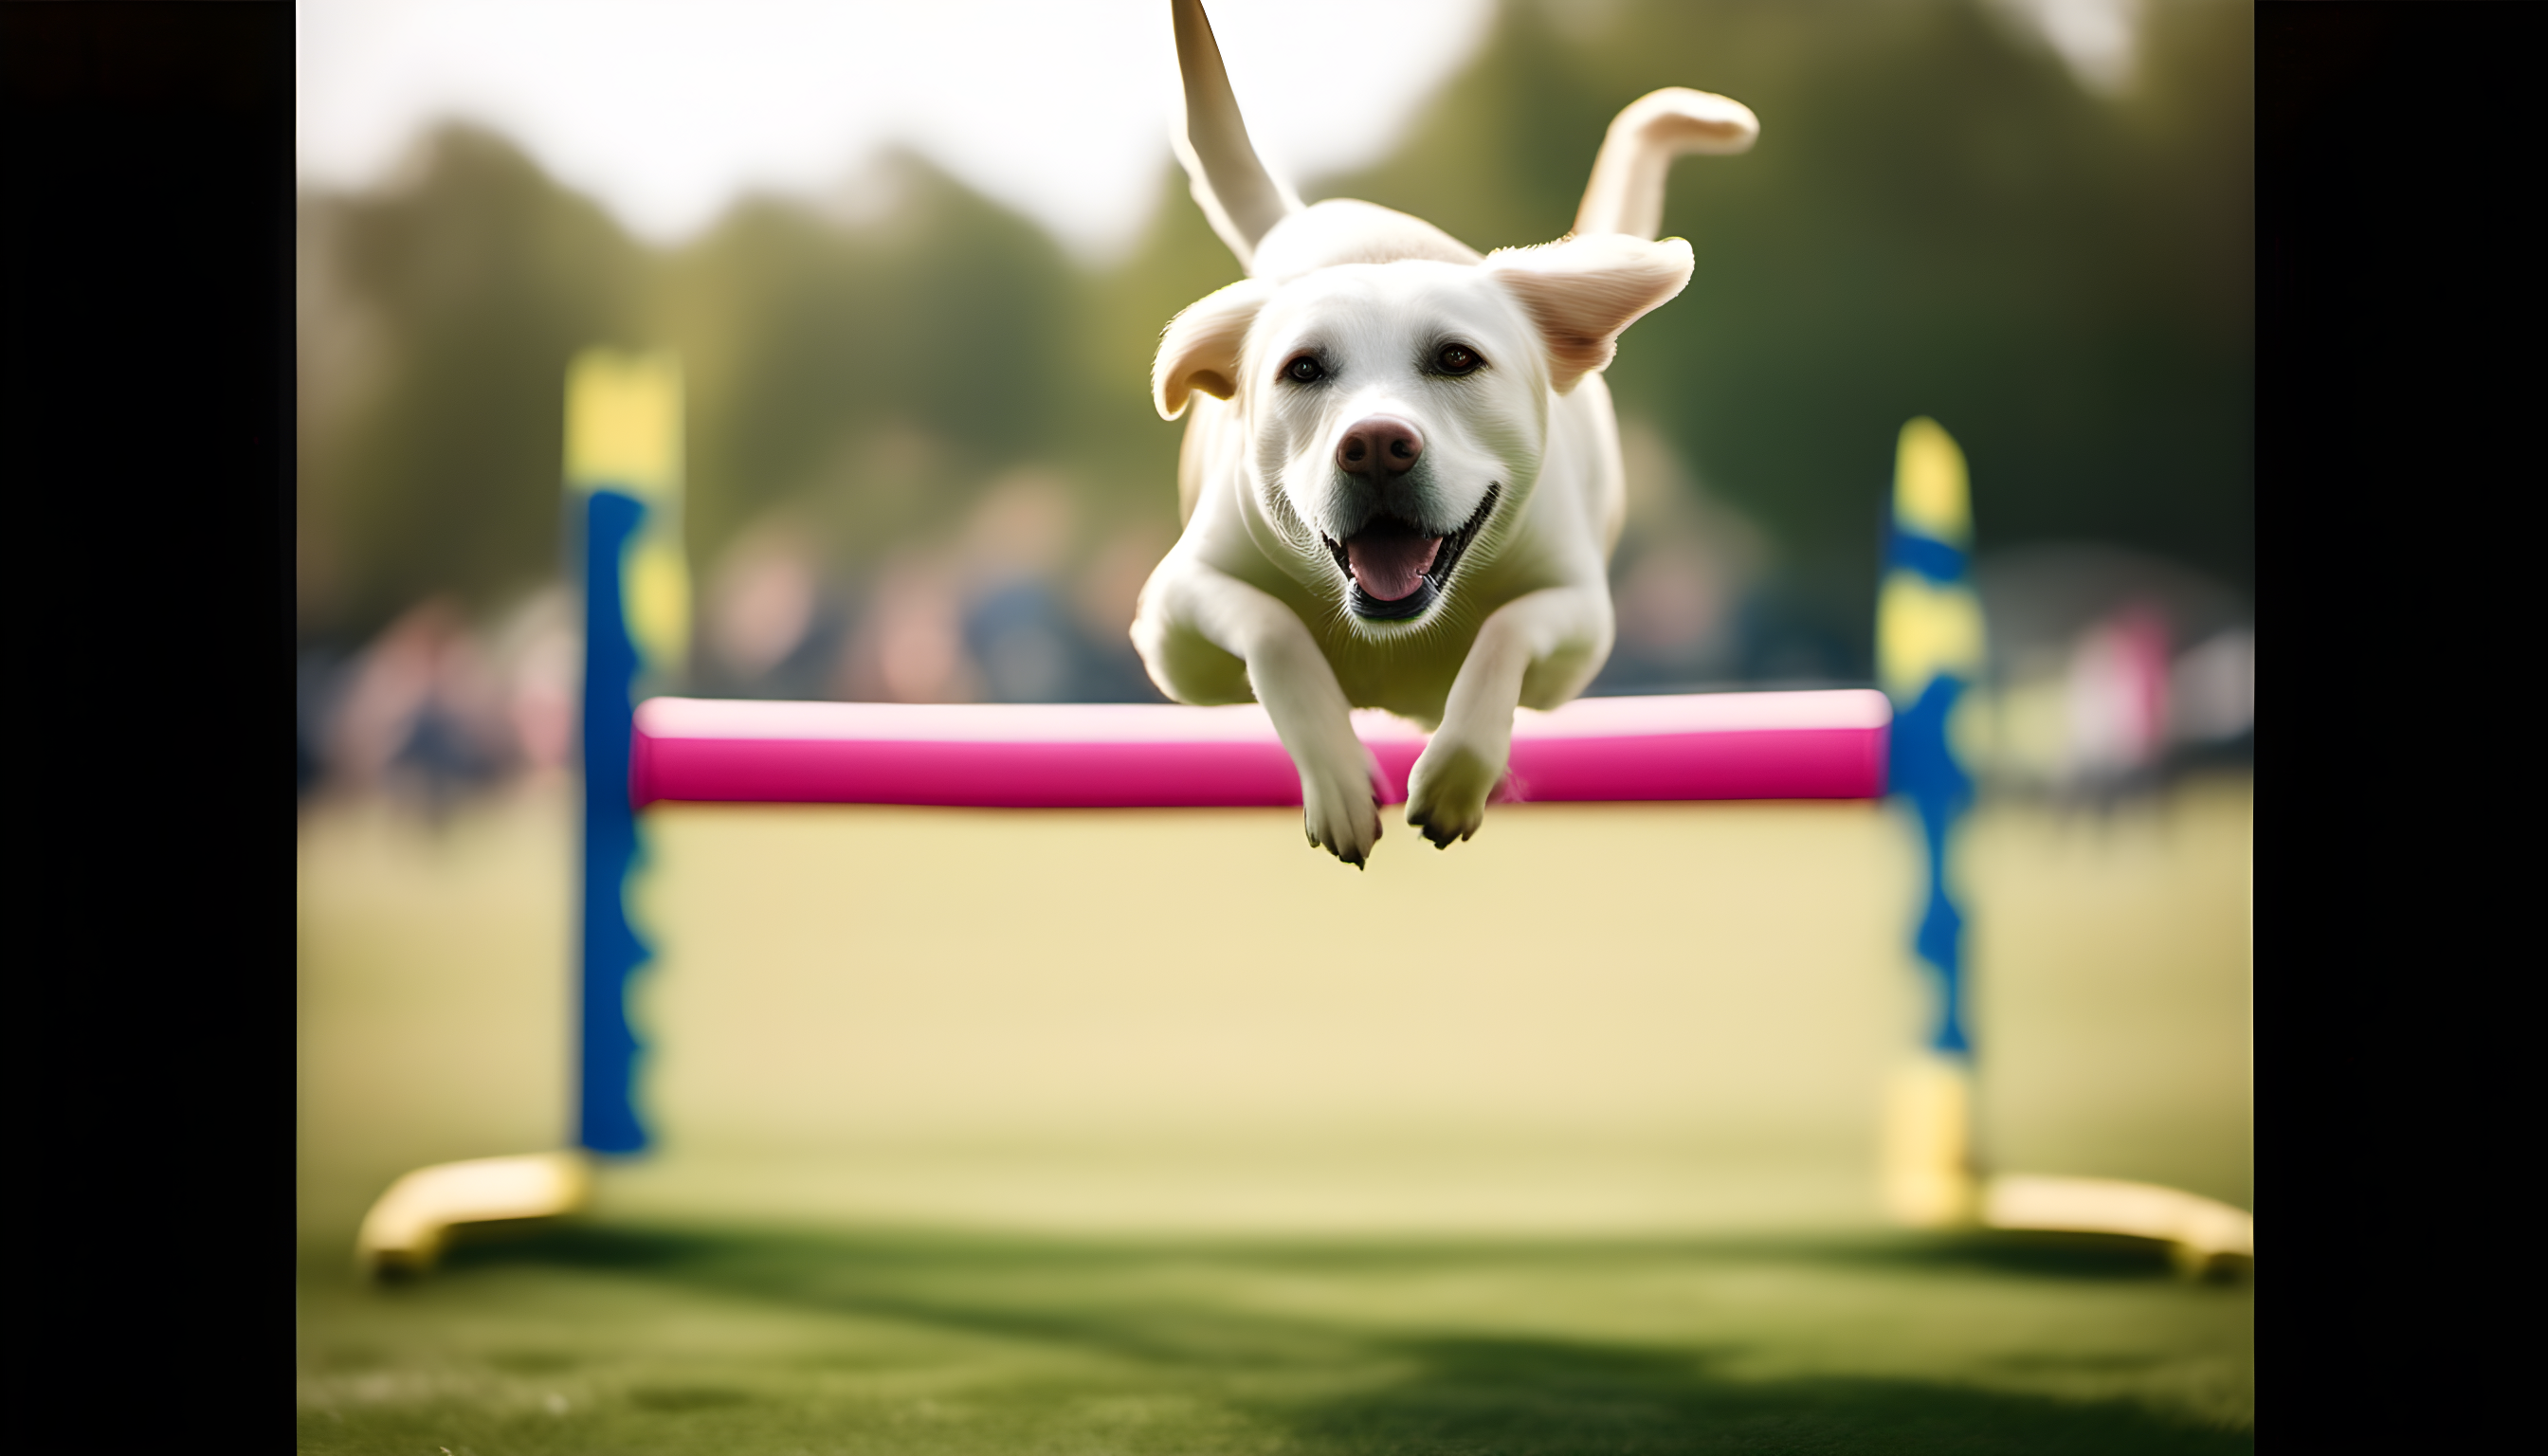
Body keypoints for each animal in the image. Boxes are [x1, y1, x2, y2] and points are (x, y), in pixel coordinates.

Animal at [1136, 0, 1753, 866]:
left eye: (1458, 358)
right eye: (1302, 369)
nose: (1374, 445)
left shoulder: (1578, 626)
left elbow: (1506, 629)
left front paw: (1459, 776)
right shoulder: (1172, 622)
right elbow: (1274, 632)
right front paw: (1337, 781)